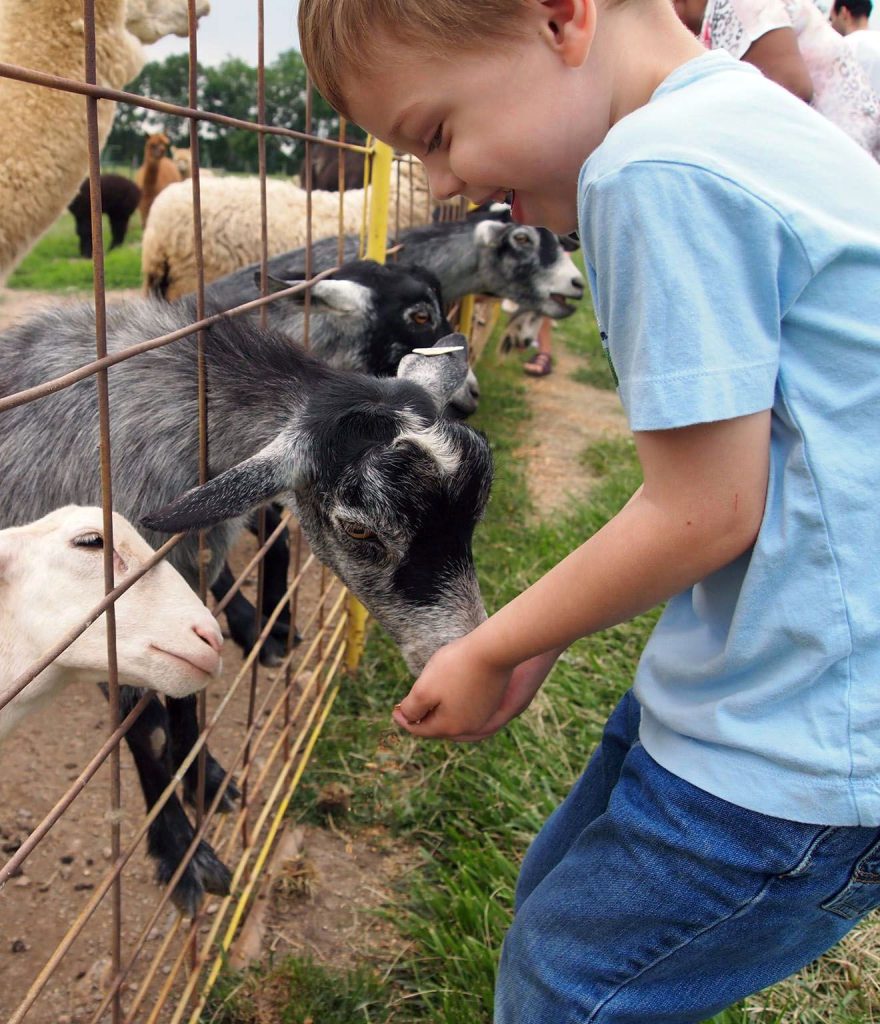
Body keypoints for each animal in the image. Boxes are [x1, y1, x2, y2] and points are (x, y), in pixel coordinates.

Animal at [0, 296, 495, 913]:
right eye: (358, 530)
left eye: (477, 507)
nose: (460, 659)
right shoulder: (104, 625)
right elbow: (145, 732)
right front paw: (182, 855)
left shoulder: (181, 597)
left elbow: (187, 700)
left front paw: (207, 780)